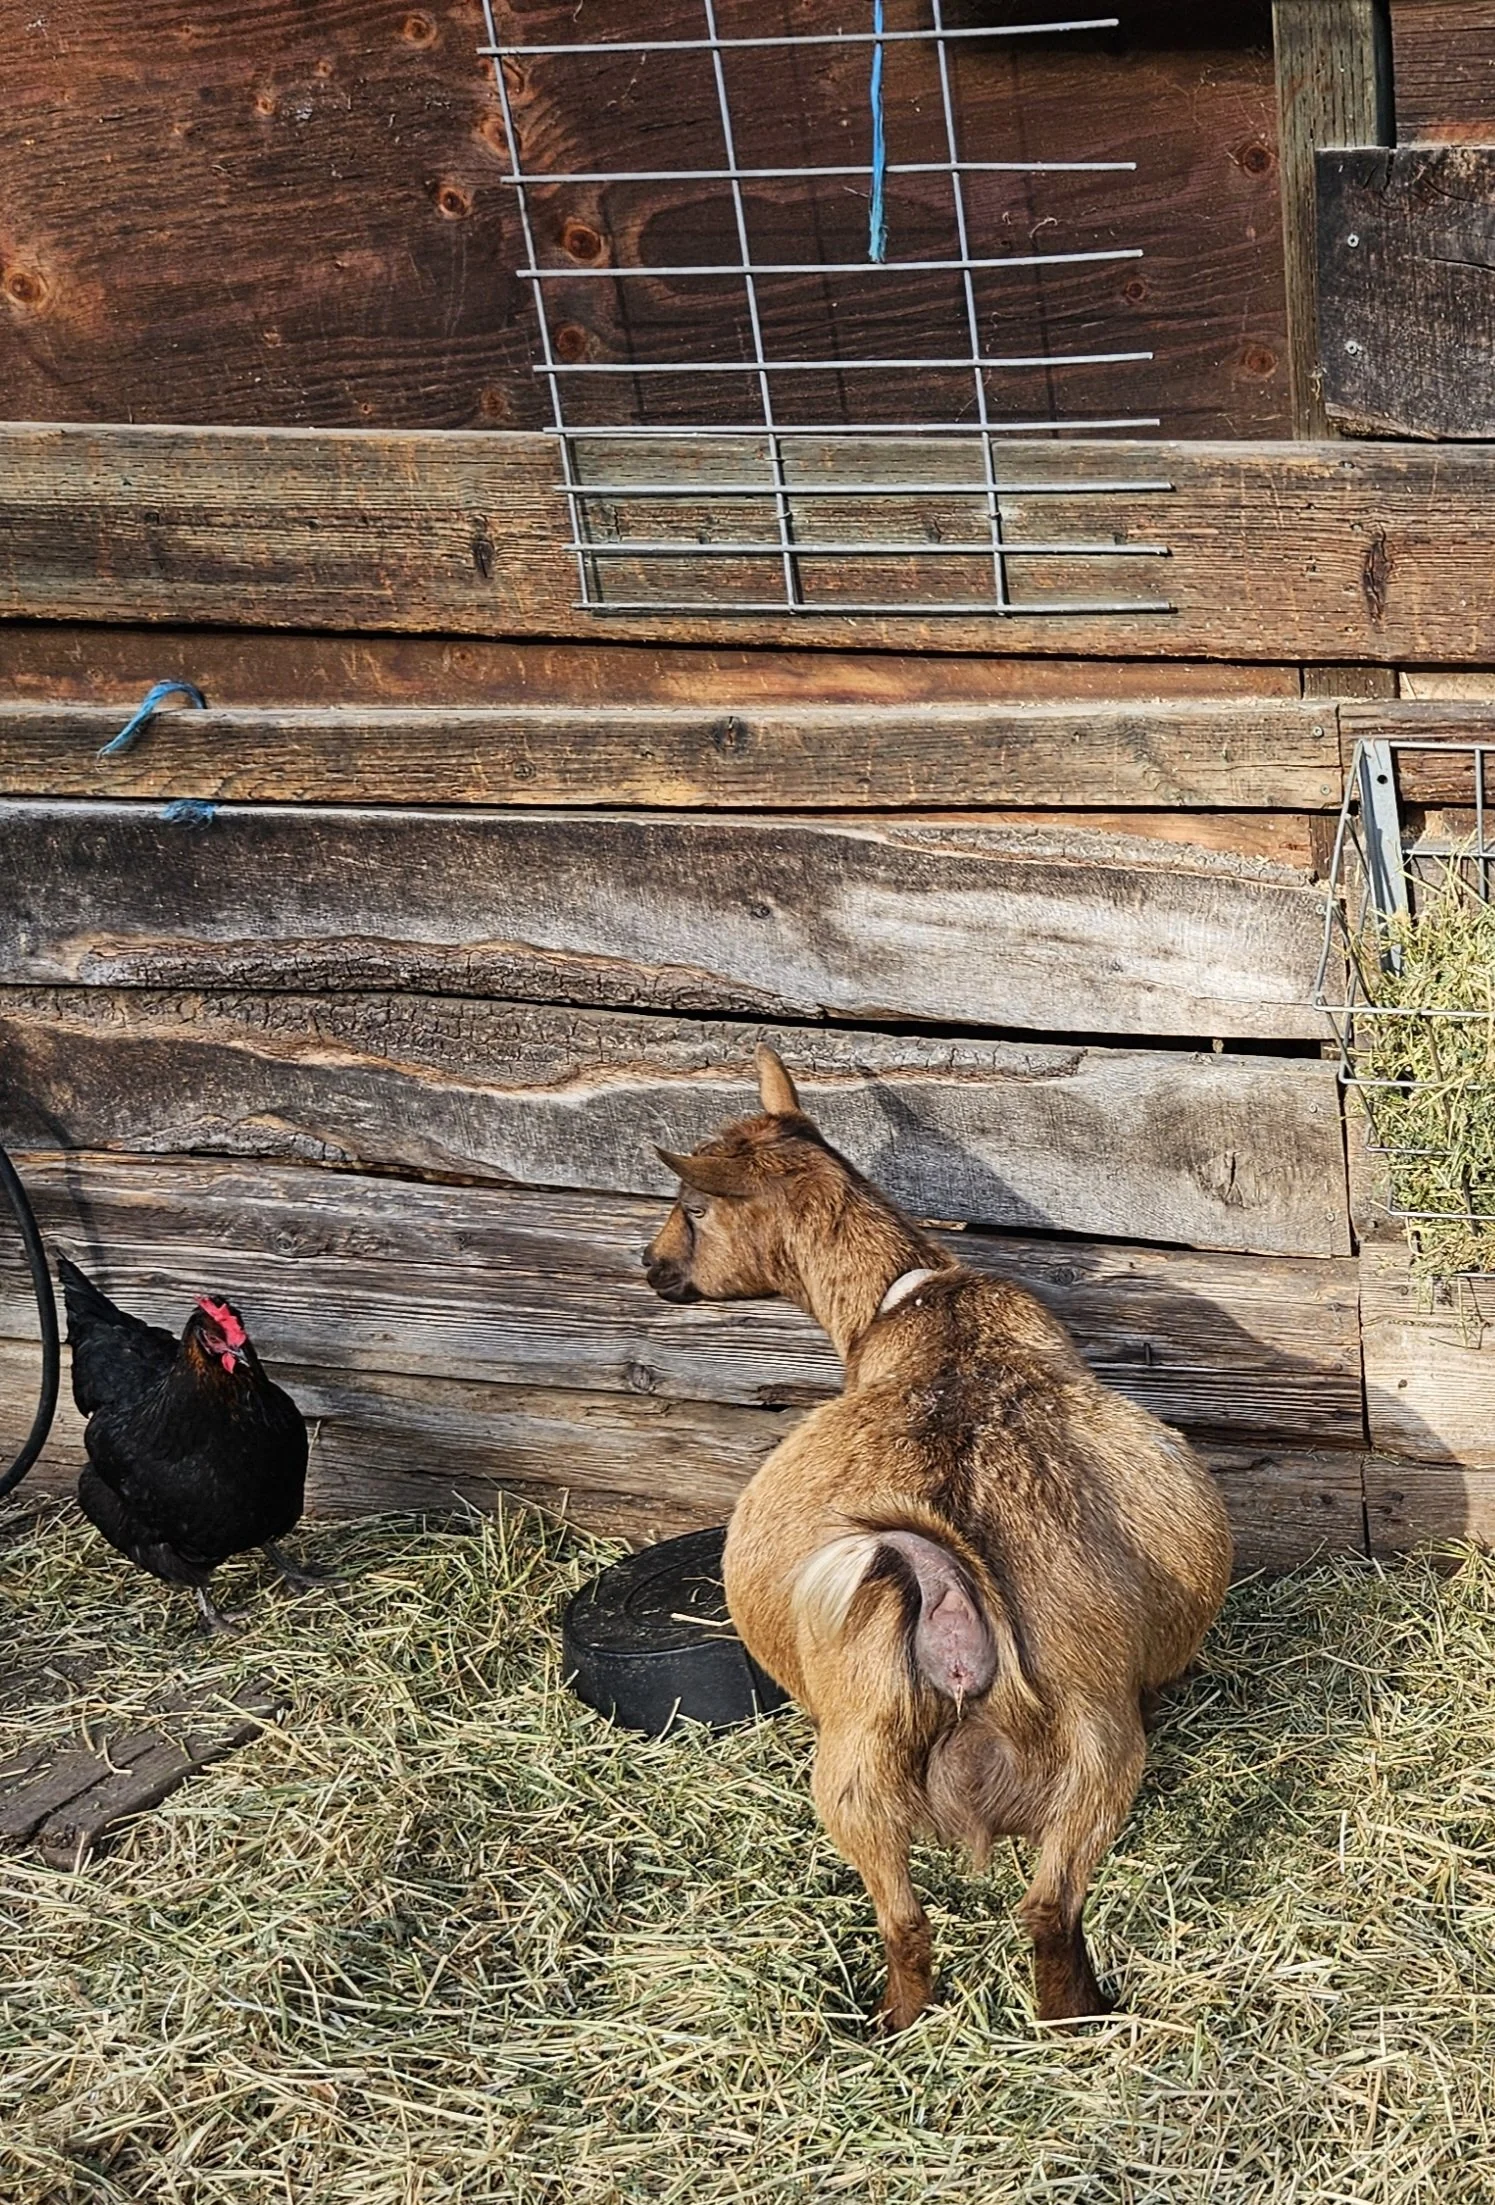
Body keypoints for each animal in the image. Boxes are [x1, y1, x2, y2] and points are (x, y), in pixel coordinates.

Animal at [643, 1047, 1232, 2032]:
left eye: (691, 1205)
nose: (649, 1267)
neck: (915, 1299)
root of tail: (953, 1595)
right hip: (1051, 1758)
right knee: (1007, 1910)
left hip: (893, 1760)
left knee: (947, 1916)